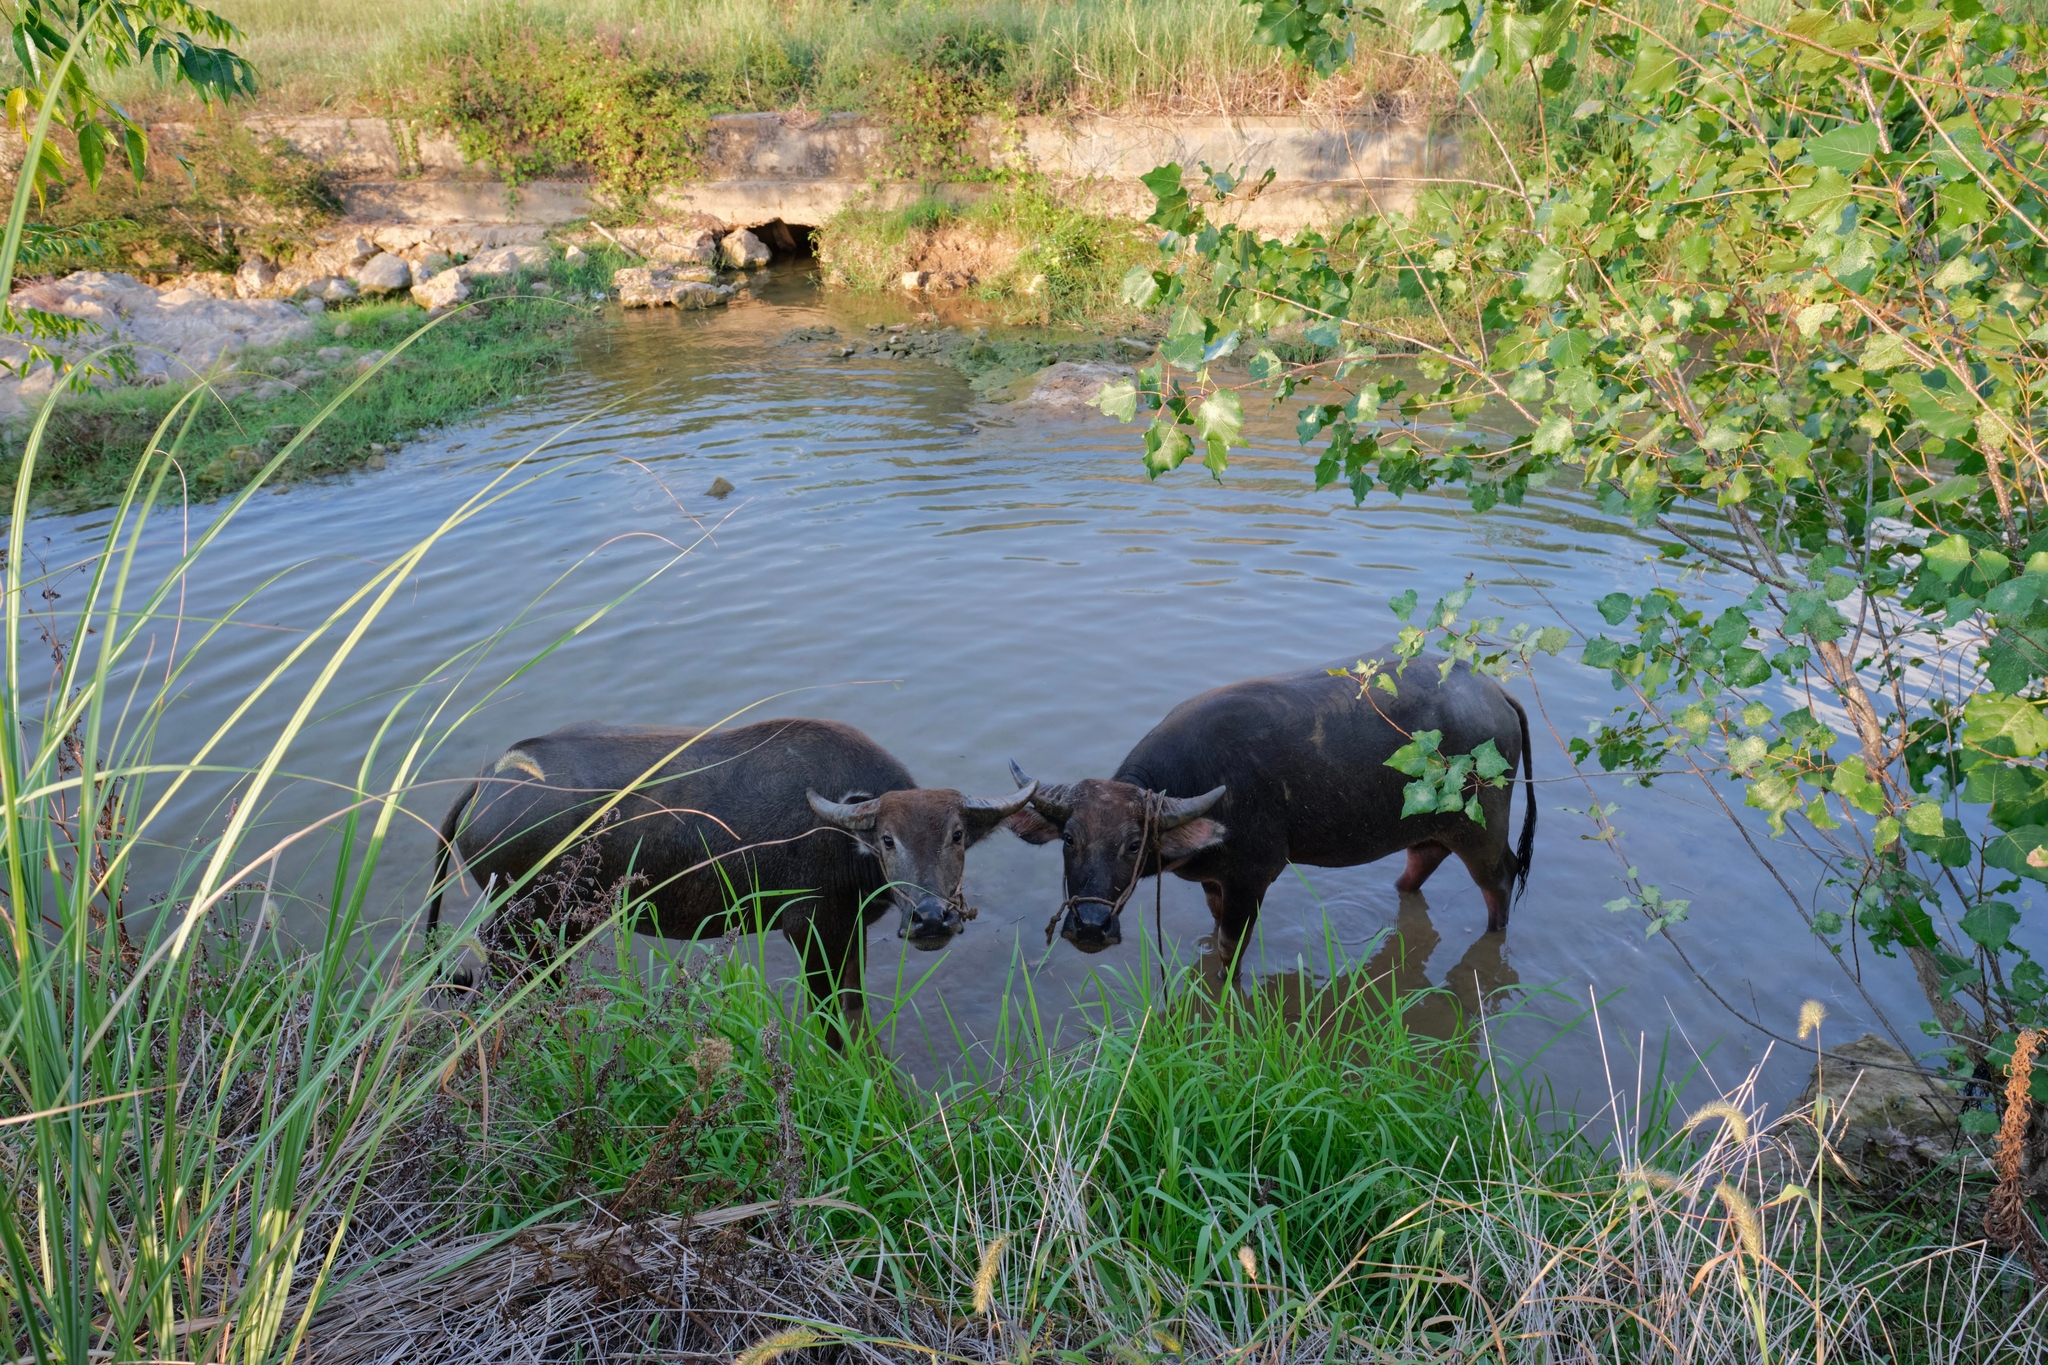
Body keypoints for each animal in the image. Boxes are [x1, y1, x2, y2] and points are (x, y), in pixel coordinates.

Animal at [427, 718, 1034, 1030]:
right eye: (887, 839)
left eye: (957, 835)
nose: (932, 919)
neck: (842, 836)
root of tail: (487, 783)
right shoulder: (810, 929)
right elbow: (831, 1019)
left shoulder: (847, 931)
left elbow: (855, 1011)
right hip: (521, 926)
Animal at [1005, 649, 1534, 960]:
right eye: (1069, 839)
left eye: (1134, 845)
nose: (1091, 927)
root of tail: (1496, 692)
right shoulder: (1217, 880)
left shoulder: (1253, 877)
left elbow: (1228, 953)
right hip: (1432, 826)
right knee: (1422, 861)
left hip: (1484, 827)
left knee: (1500, 879)